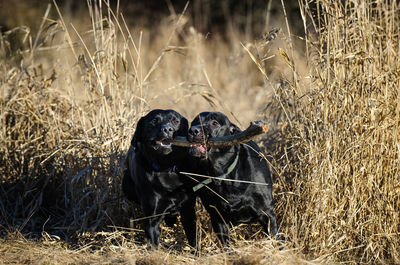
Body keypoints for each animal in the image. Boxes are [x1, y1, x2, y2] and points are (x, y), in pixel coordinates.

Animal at [122, 108, 197, 246]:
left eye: (175, 121)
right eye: (154, 120)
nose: (167, 129)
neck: (166, 167)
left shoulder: (188, 211)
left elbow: (193, 238)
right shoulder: (152, 220)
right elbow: (154, 242)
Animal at [187, 110, 278, 244]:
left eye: (214, 123)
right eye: (194, 122)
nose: (193, 131)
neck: (224, 175)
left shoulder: (268, 214)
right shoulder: (218, 219)